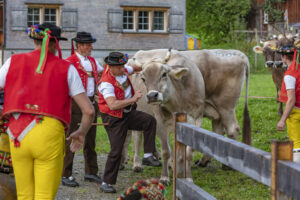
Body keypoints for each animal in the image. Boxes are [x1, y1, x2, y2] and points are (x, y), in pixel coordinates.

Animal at [122, 48, 251, 184]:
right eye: (143, 78)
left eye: (164, 74)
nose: (152, 96)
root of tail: (239, 54)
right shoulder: (160, 120)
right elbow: (166, 150)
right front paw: (166, 174)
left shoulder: (195, 119)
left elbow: (187, 152)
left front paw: (185, 176)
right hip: (220, 112)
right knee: (218, 132)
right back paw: (204, 161)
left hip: (226, 108)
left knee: (232, 130)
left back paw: (227, 165)